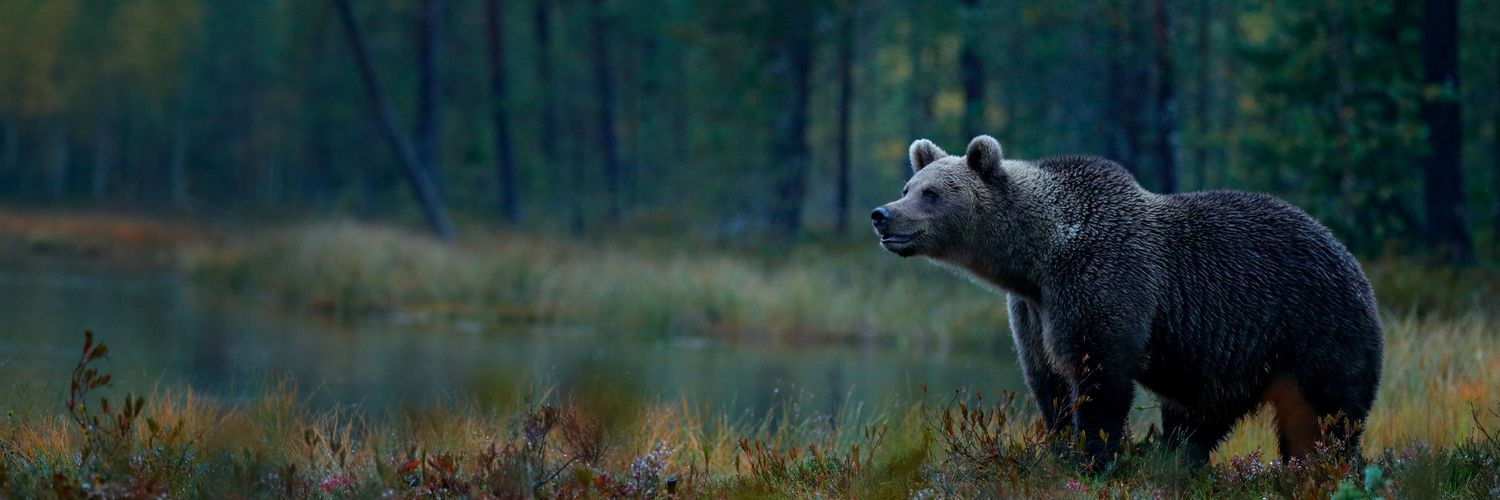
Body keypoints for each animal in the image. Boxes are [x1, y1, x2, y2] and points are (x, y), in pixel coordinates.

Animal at [870, 135, 1383, 469]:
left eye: (932, 193)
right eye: (907, 187)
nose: (882, 215)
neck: (1037, 257)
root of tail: (1352, 260)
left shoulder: (1101, 281)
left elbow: (1099, 376)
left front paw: (1096, 457)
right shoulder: (1033, 310)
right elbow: (1048, 381)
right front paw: (1060, 448)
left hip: (1315, 326)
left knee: (1327, 414)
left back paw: (1320, 466)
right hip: (1231, 361)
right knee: (1197, 418)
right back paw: (1178, 461)